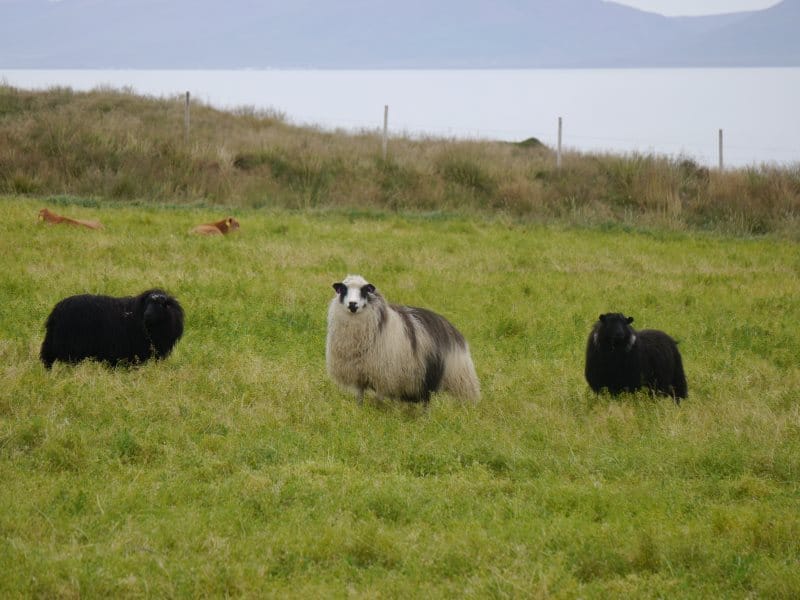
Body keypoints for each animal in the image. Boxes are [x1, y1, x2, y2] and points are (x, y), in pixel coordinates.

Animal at [326, 276, 482, 404]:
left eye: (365, 291)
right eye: (343, 290)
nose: (352, 304)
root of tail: (449, 326)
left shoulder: (385, 373)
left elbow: (380, 397)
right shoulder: (359, 373)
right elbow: (360, 395)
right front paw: (360, 409)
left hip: (441, 373)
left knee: (427, 399)